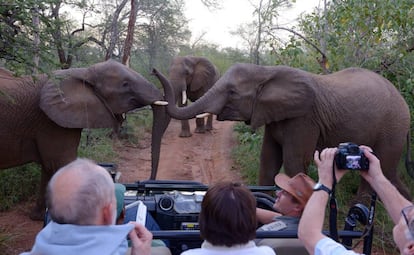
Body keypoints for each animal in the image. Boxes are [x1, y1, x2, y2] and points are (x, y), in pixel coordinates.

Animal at [0, 59, 170, 219]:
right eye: (125, 84)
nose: (147, 183)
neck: (84, 72)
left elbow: (49, 167)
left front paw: (38, 217)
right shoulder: (51, 121)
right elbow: (61, 163)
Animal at [153, 63, 414, 199]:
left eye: (232, 93)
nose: (154, 71)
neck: (267, 72)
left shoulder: (303, 118)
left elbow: (293, 161)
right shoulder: (272, 114)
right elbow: (268, 160)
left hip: (392, 127)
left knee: (382, 171)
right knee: (388, 174)